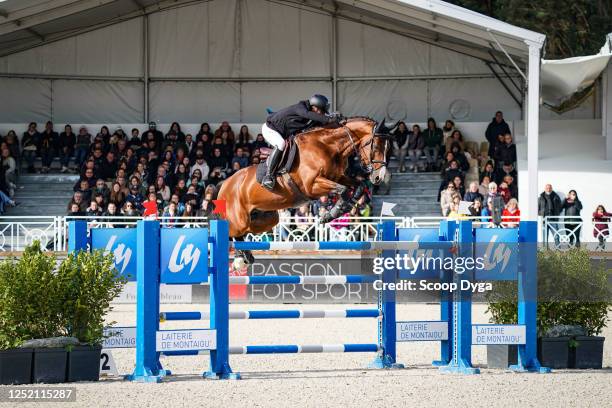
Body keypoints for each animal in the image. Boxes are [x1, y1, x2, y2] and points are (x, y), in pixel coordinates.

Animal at [220, 116, 390, 262]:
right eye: (376, 145)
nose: (379, 177)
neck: (328, 146)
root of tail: (224, 184)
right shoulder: (312, 185)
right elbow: (342, 189)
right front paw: (333, 213)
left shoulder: (338, 177)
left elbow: (358, 185)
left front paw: (342, 208)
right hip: (239, 219)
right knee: (233, 230)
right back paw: (240, 255)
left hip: (268, 217)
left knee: (248, 230)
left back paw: (245, 254)